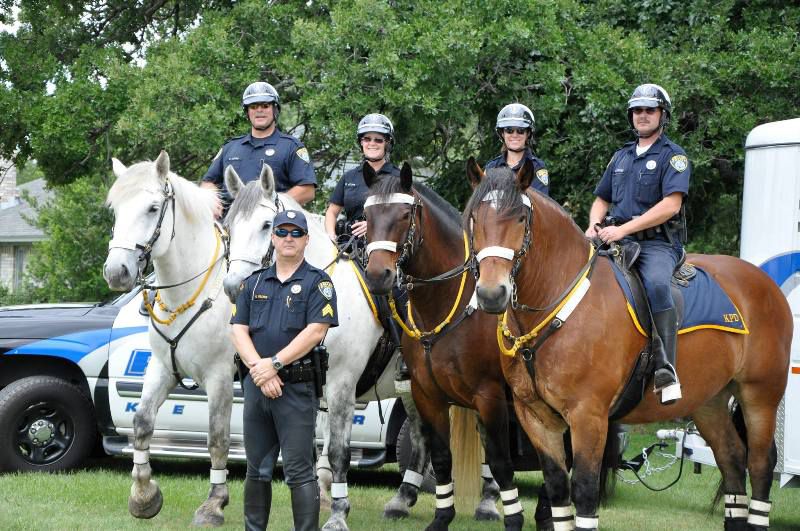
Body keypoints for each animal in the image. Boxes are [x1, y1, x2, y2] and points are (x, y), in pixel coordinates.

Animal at [103, 152, 234, 524]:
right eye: (115, 210)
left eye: (152, 208)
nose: (116, 272)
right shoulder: (162, 368)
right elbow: (142, 422)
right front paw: (144, 495)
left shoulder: (220, 376)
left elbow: (218, 437)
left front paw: (214, 503)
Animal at [220, 166, 468, 531]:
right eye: (229, 227)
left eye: (266, 225)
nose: (234, 287)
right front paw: (321, 498)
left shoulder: (341, 385)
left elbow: (338, 452)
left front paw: (338, 513)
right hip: (413, 387)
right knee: (421, 432)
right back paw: (403, 498)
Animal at [466, 160, 792, 531]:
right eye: (474, 217)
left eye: (520, 218)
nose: (492, 294)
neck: (557, 303)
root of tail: (763, 283)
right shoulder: (535, 417)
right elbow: (558, 488)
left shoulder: (588, 417)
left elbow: (585, 492)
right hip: (709, 401)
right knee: (733, 460)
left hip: (760, 396)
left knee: (760, 466)